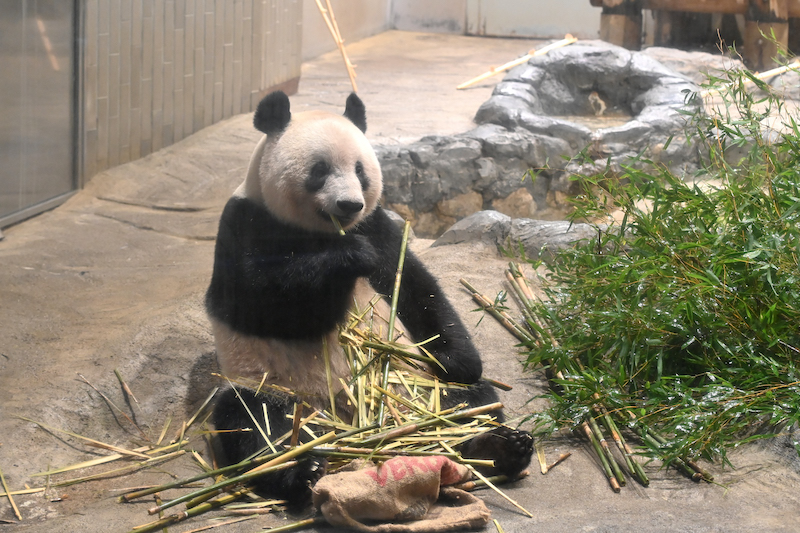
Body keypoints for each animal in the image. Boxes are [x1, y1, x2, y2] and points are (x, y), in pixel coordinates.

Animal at [205, 91, 532, 508]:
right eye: (320, 169)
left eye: (360, 170)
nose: (349, 205)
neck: (323, 231)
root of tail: (353, 421)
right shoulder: (245, 223)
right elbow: (263, 303)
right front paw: (348, 257)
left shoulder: (378, 224)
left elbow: (415, 286)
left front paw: (457, 361)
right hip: (275, 387)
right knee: (254, 424)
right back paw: (302, 471)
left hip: (414, 382)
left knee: (469, 402)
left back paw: (496, 448)